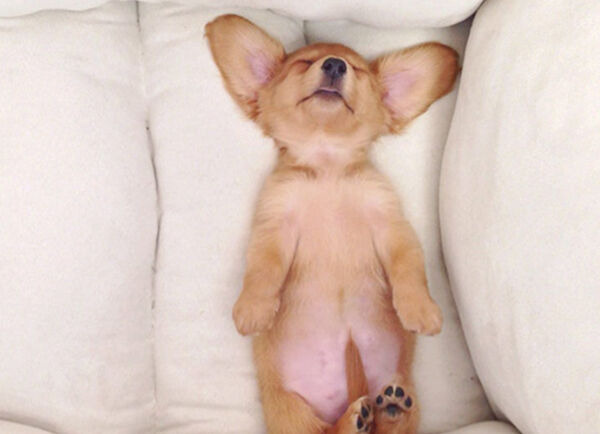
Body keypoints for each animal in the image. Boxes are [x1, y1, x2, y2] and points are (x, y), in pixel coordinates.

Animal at [206, 14, 458, 434]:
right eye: (303, 63)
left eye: (356, 68)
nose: (335, 65)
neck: (328, 168)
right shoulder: (275, 225)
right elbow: (262, 270)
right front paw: (255, 308)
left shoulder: (390, 225)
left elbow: (409, 269)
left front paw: (419, 309)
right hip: (291, 414)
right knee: (332, 430)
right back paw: (358, 417)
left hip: (404, 391)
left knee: (391, 422)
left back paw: (390, 407)